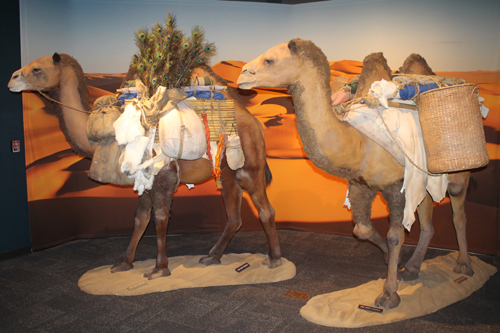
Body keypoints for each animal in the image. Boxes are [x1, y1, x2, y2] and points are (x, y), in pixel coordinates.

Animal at [8, 53, 282, 278]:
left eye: (36, 68)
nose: (12, 79)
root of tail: (256, 124)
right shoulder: (144, 180)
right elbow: (141, 218)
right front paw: (124, 263)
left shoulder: (163, 176)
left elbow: (160, 218)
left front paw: (160, 268)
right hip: (225, 172)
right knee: (234, 217)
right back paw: (212, 256)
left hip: (249, 166)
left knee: (265, 209)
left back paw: (274, 260)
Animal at [237, 39, 472, 308]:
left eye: (269, 60)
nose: (242, 75)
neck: (359, 143)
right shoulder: (361, 185)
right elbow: (362, 229)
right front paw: (392, 259)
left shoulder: (396, 188)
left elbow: (395, 236)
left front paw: (389, 294)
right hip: (423, 178)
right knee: (427, 219)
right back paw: (413, 269)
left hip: (458, 174)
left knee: (458, 214)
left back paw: (464, 266)